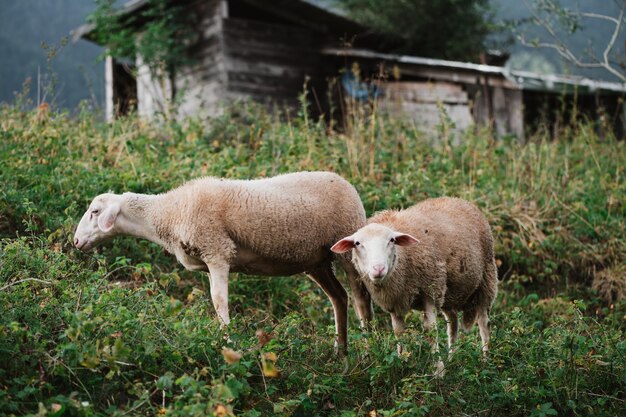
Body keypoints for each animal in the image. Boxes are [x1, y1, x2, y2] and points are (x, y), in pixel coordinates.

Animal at [73, 170, 370, 352]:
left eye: (95, 211)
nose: (75, 242)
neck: (169, 213)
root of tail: (344, 181)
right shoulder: (207, 260)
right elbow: (215, 301)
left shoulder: (217, 250)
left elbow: (219, 301)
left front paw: (227, 342)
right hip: (316, 262)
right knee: (339, 297)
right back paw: (340, 352)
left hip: (348, 246)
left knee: (359, 297)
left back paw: (368, 345)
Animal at [330, 196, 494, 358]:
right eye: (357, 243)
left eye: (392, 240)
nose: (378, 268)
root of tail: (458, 199)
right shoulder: (394, 301)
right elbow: (399, 332)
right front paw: (402, 360)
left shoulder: (430, 292)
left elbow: (430, 330)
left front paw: (438, 365)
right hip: (448, 293)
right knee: (453, 322)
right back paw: (451, 357)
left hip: (486, 279)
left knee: (484, 323)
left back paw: (485, 358)